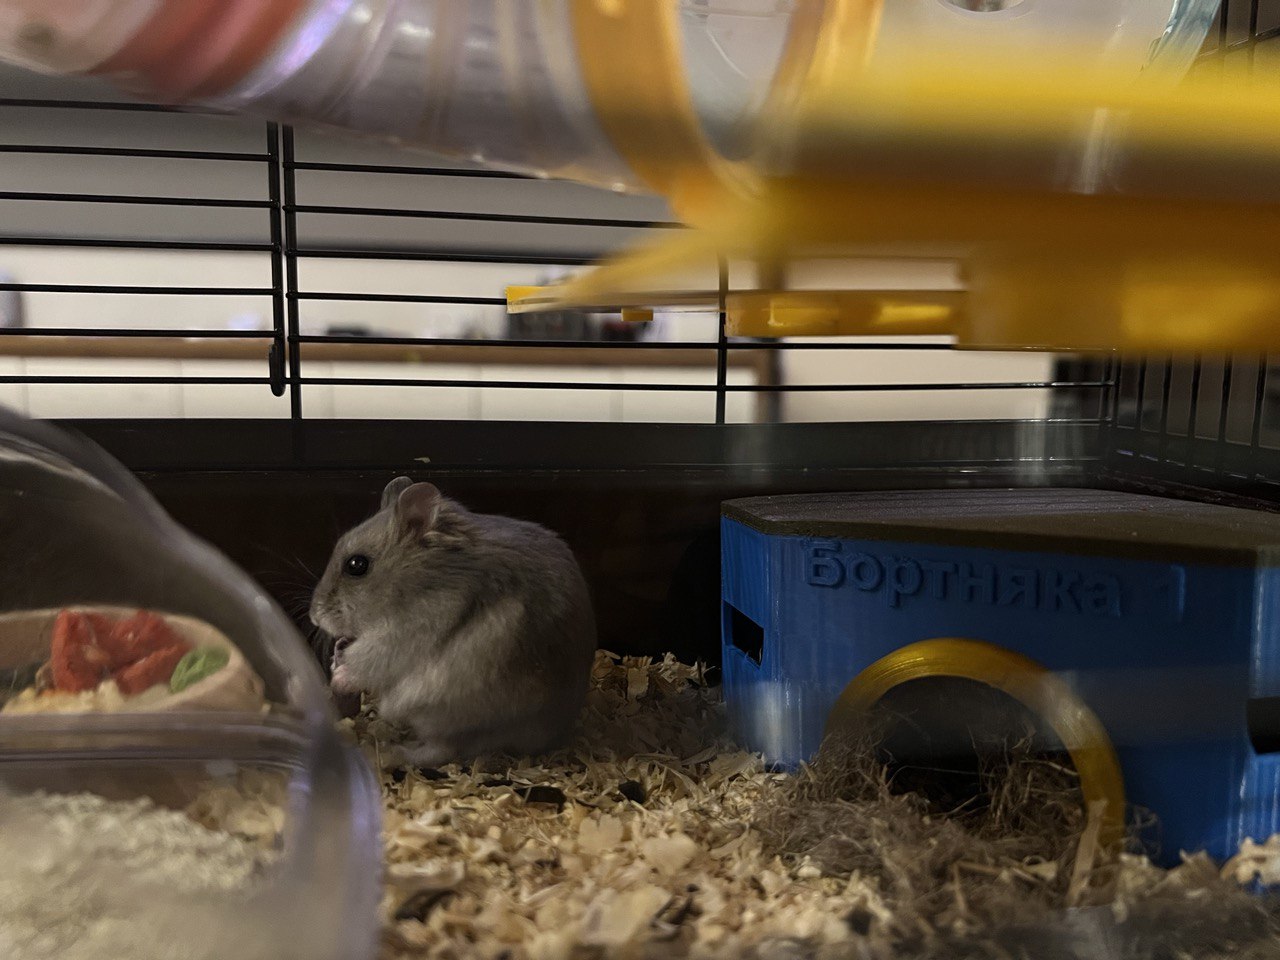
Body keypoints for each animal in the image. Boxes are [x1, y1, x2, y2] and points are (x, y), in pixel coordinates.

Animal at [309, 477, 596, 767]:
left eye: (356, 565)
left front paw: (339, 675)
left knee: (441, 750)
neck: (419, 581)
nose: (314, 616)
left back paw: (389, 751)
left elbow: (364, 662)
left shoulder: (402, 635)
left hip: (443, 711)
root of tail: (555, 734)